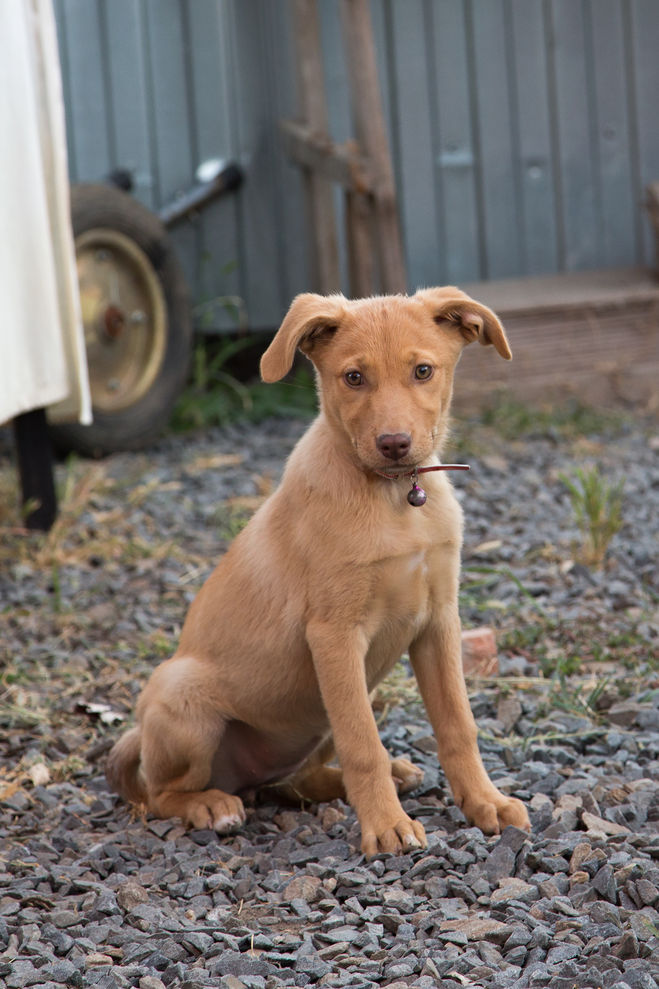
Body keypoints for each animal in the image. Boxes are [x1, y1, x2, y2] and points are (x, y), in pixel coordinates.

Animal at [108, 288, 532, 856]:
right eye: (353, 377)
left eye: (423, 371)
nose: (394, 443)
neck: (395, 498)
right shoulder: (334, 635)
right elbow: (363, 744)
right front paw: (386, 826)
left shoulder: (439, 621)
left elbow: (457, 726)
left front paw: (486, 803)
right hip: (183, 695)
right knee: (161, 793)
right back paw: (211, 807)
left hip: (331, 707)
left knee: (296, 780)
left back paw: (384, 777)